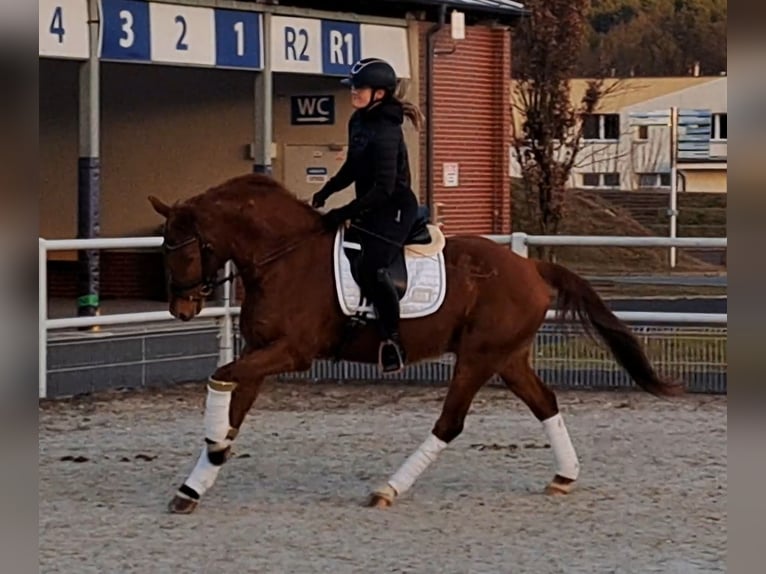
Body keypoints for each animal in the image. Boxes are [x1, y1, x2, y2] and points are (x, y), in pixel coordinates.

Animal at [147, 173, 680, 516]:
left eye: (184, 249)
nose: (182, 309)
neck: (284, 257)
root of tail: (531, 266)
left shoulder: (291, 352)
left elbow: (220, 379)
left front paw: (215, 446)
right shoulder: (260, 352)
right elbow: (233, 403)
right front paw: (197, 481)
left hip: (478, 357)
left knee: (450, 423)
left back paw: (388, 489)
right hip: (507, 357)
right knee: (544, 402)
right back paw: (564, 476)